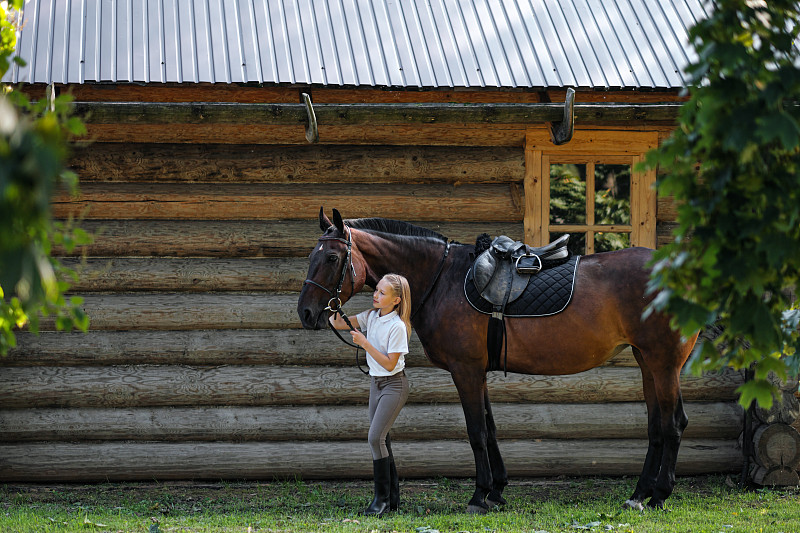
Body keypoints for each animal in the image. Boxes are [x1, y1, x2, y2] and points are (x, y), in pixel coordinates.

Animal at [296, 208, 696, 512]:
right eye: (312, 257)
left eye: (331, 258)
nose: (306, 313)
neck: (442, 279)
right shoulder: (478, 371)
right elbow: (489, 428)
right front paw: (498, 490)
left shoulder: (466, 370)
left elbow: (476, 432)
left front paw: (479, 496)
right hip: (647, 362)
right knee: (656, 426)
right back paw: (639, 494)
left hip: (664, 364)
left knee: (674, 423)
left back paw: (659, 495)